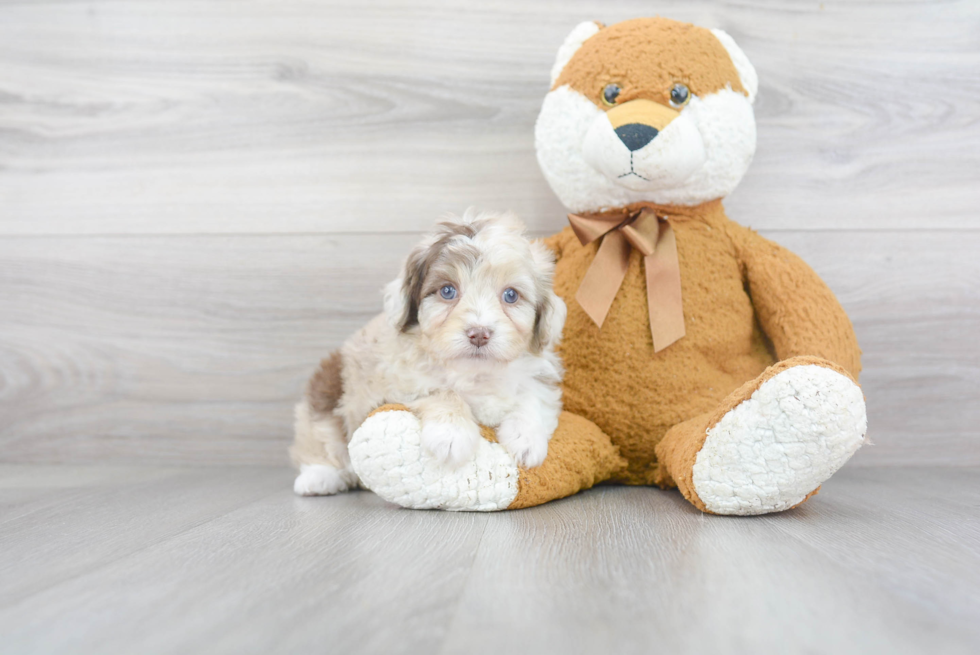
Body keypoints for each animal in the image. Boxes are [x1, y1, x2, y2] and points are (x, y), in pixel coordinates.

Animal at [290, 210, 568, 498]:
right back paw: (318, 477)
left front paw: (527, 439)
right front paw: (452, 433)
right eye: (447, 291)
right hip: (330, 388)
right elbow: (441, 391)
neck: (475, 372)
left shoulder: (537, 376)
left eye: (511, 295)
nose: (479, 334)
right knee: (320, 436)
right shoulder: (394, 385)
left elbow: (531, 396)